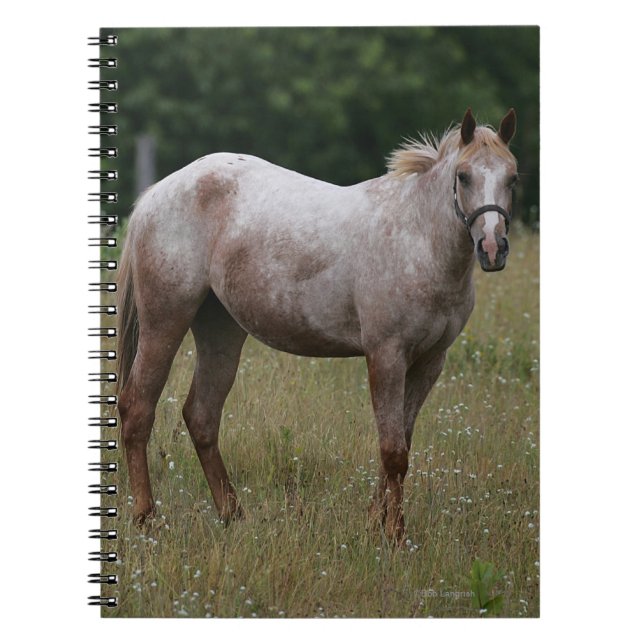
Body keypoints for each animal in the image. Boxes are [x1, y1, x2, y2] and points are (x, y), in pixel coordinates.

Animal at [116, 108, 518, 542]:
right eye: (464, 176)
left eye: (512, 177)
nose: (492, 248)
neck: (418, 240)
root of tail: (156, 194)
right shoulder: (387, 357)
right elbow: (393, 451)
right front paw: (394, 535)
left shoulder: (430, 362)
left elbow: (400, 444)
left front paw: (374, 524)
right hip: (165, 322)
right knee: (138, 408)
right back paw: (146, 517)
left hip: (220, 330)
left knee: (201, 417)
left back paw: (233, 514)